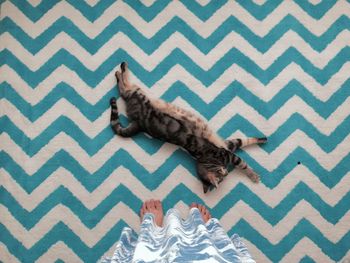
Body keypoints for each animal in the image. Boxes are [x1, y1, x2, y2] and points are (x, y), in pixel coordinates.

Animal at [109, 62, 266, 193]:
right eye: (221, 178)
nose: (226, 173)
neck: (209, 160)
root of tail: (139, 124)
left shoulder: (227, 146)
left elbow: (245, 140)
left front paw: (263, 139)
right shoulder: (227, 153)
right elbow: (243, 163)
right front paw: (253, 175)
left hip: (139, 94)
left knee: (123, 87)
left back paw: (120, 69)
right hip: (138, 95)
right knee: (123, 89)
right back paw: (120, 70)